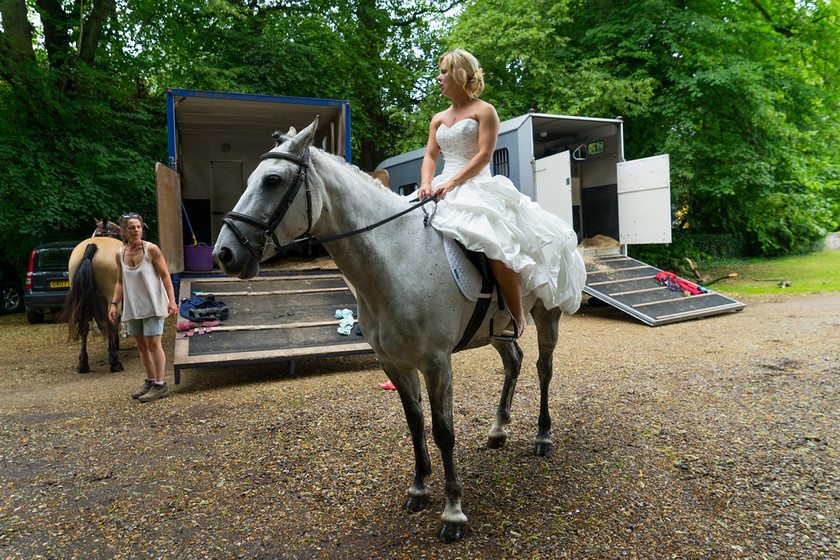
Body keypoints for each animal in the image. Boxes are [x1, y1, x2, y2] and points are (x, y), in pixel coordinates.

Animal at [57, 235, 124, 372]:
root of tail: (92, 246)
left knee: (84, 326)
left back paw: (83, 364)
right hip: (113, 297)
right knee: (112, 323)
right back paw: (115, 362)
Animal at [212, 118, 564, 544]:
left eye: (272, 180)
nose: (224, 254)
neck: (396, 260)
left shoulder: (436, 363)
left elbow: (443, 430)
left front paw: (453, 512)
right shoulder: (394, 364)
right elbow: (415, 425)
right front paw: (419, 489)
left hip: (548, 315)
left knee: (544, 370)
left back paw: (543, 437)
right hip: (499, 330)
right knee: (514, 362)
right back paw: (498, 431)